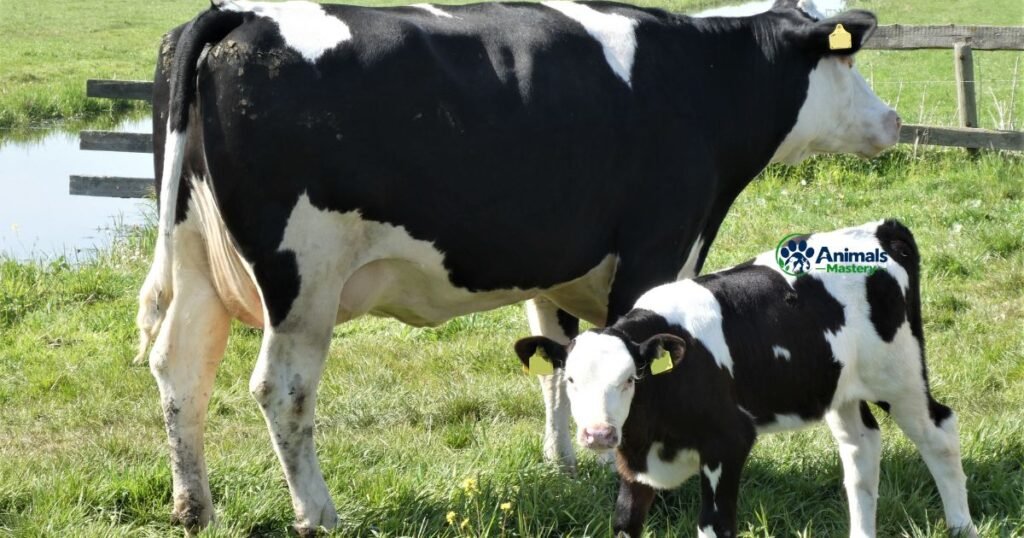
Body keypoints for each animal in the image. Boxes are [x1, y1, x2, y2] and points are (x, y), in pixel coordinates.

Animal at [139, 0, 900, 531]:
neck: (704, 78)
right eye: (848, 63)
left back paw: (194, 507)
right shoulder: (658, 248)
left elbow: (561, 362)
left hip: (198, 261)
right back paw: (318, 514)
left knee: (180, 371)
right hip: (304, 279)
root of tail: (240, 14)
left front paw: (564, 464)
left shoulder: (558, 264)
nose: (892, 119)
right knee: (282, 390)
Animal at [514, 220, 978, 538]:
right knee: (861, 448)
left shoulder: (728, 442)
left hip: (900, 376)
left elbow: (713, 526)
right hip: (839, 388)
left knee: (939, 433)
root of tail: (879, 231)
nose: (599, 434)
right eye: (571, 380)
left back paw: (961, 526)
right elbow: (625, 522)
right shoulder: (634, 465)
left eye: (631, 378)